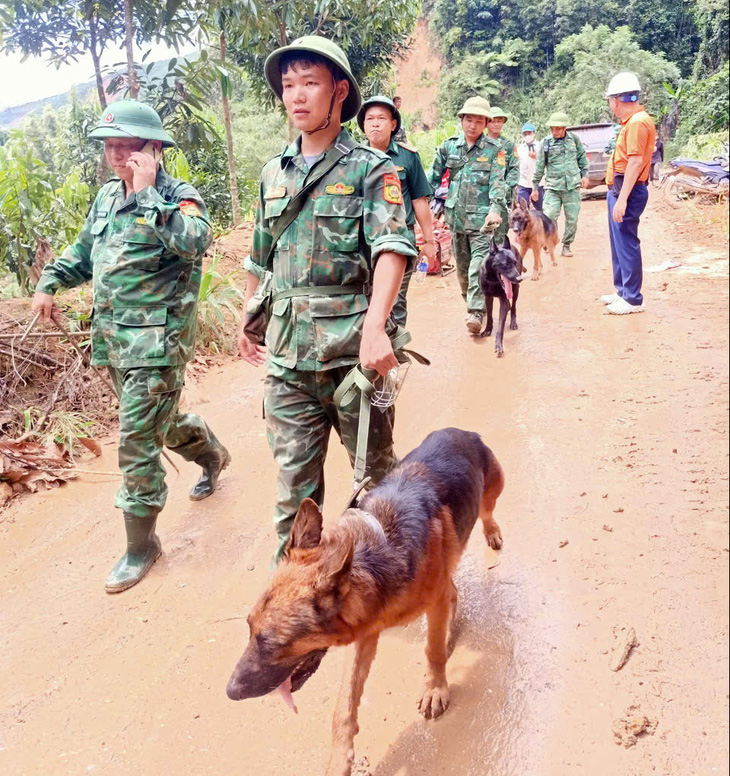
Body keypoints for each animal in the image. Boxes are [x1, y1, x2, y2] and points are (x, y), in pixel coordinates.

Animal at [226, 430, 500, 776]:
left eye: (272, 643)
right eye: (249, 629)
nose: (230, 691)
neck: (374, 556)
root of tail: (458, 432)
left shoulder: (427, 604)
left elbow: (432, 650)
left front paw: (435, 687)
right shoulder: (365, 634)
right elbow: (344, 705)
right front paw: (340, 758)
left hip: (493, 489)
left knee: (487, 513)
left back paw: (491, 532)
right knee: (451, 588)